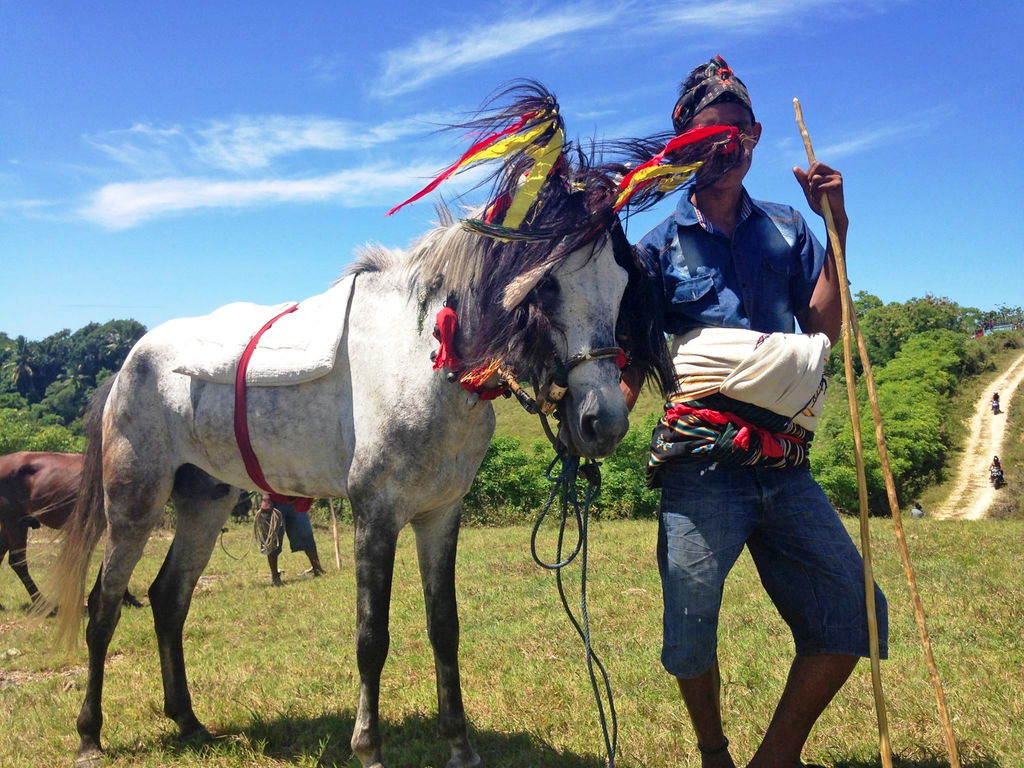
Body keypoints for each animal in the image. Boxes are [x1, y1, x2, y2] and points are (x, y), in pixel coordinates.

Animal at [45, 83, 690, 768]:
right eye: (545, 287)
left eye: (620, 285)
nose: (602, 421)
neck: (426, 363)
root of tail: (126, 365)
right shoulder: (374, 515)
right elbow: (370, 636)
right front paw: (368, 746)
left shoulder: (439, 514)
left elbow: (444, 627)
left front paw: (459, 743)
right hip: (134, 502)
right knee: (104, 605)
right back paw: (89, 735)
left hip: (206, 499)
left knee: (169, 599)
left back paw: (189, 721)